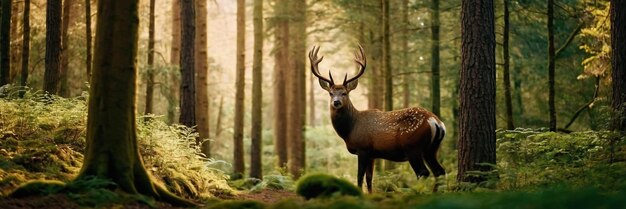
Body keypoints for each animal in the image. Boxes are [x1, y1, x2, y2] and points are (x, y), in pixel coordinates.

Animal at [308, 44, 444, 193]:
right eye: (330, 93)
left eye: (345, 93)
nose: (336, 102)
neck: (350, 129)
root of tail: (435, 121)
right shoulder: (372, 154)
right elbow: (369, 178)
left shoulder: (362, 148)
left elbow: (359, 176)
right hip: (431, 148)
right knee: (439, 171)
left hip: (413, 147)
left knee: (423, 172)